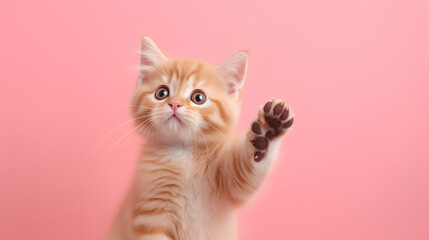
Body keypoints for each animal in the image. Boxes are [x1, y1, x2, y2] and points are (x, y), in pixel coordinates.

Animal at [107, 36, 294, 240]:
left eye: (198, 97)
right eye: (161, 93)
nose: (175, 104)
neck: (182, 157)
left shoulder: (231, 180)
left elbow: (247, 168)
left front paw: (267, 130)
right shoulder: (150, 215)